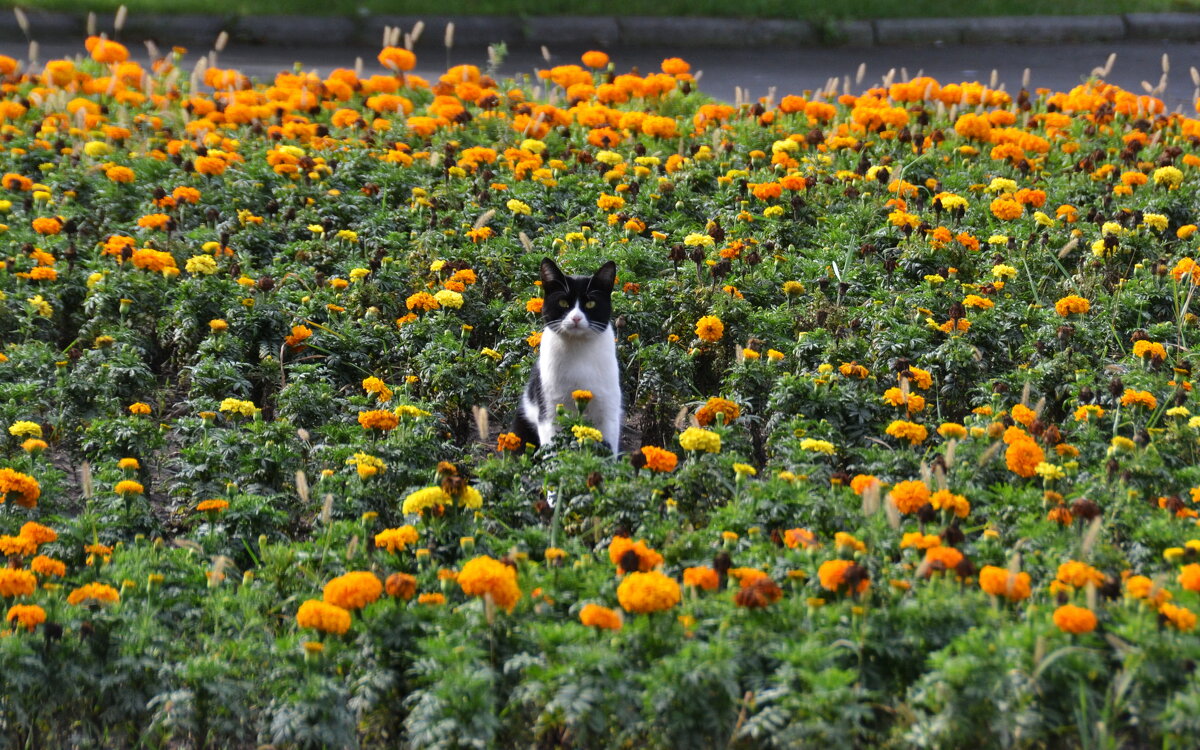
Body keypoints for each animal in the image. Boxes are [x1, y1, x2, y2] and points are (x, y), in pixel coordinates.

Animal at [513, 256, 624, 453]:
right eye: (563, 303)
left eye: (590, 304)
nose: (576, 318)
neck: (578, 348)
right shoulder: (549, 411)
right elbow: (552, 451)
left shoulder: (609, 411)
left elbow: (608, 450)